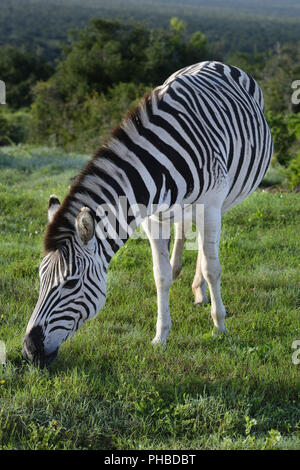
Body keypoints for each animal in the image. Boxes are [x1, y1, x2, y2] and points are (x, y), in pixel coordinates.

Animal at [22, 60, 274, 366]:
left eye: (70, 284)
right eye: (40, 278)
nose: (29, 350)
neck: (161, 164)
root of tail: (215, 62)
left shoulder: (212, 205)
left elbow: (213, 269)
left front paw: (220, 326)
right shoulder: (152, 218)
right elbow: (160, 275)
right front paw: (160, 335)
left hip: (223, 200)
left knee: (206, 250)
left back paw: (202, 289)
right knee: (184, 233)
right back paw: (191, 282)